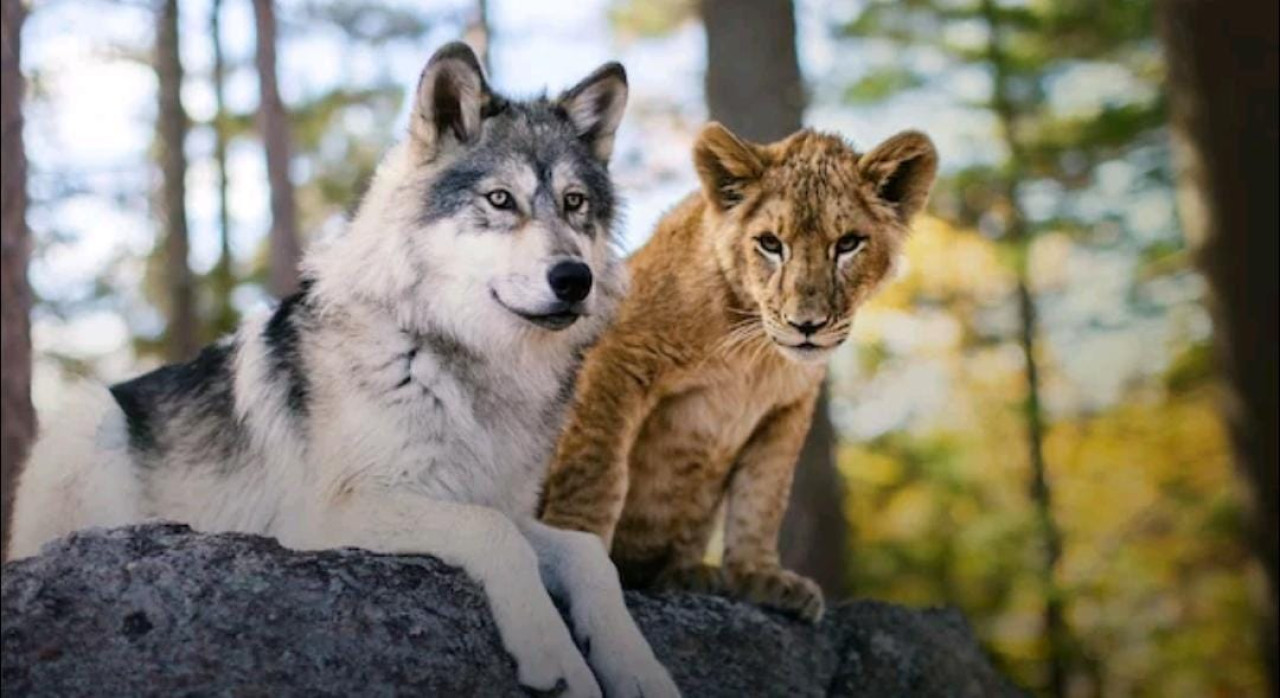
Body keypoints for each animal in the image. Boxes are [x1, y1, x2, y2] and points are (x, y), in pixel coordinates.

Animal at [7, 43, 680, 696]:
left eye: (574, 204)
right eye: (500, 200)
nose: (574, 279)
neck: (458, 359)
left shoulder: (500, 501)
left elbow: (588, 553)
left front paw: (637, 667)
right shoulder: (329, 516)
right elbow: (496, 534)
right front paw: (556, 658)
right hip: (89, 417)